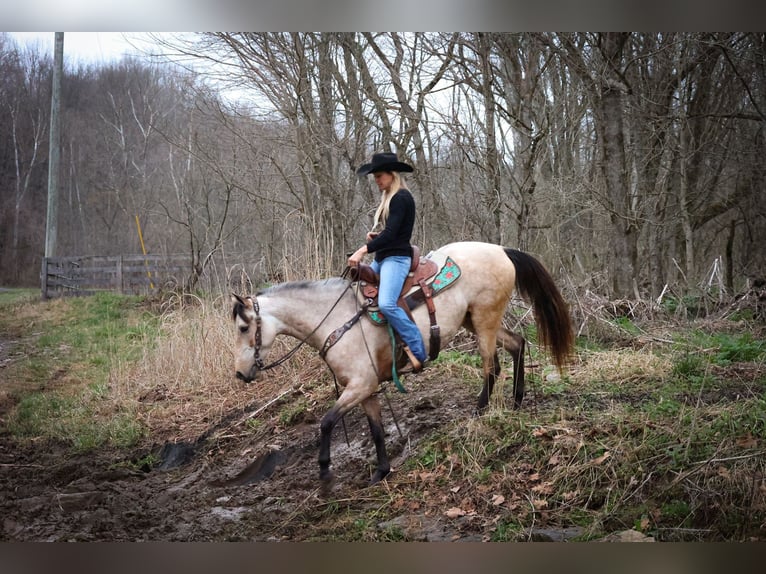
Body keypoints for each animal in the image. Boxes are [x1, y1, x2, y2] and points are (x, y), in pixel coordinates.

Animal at [231, 242, 572, 490]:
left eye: (244, 327)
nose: (240, 373)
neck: (336, 319)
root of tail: (501, 249)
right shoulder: (366, 391)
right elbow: (376, 430)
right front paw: (381, 471)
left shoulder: (360, 386)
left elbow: (326, 422)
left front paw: (326, 472)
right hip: (475, 321)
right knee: (517, 344)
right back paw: (516, 400)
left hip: (484, 320)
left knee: (491, 367)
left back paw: (480, 411)